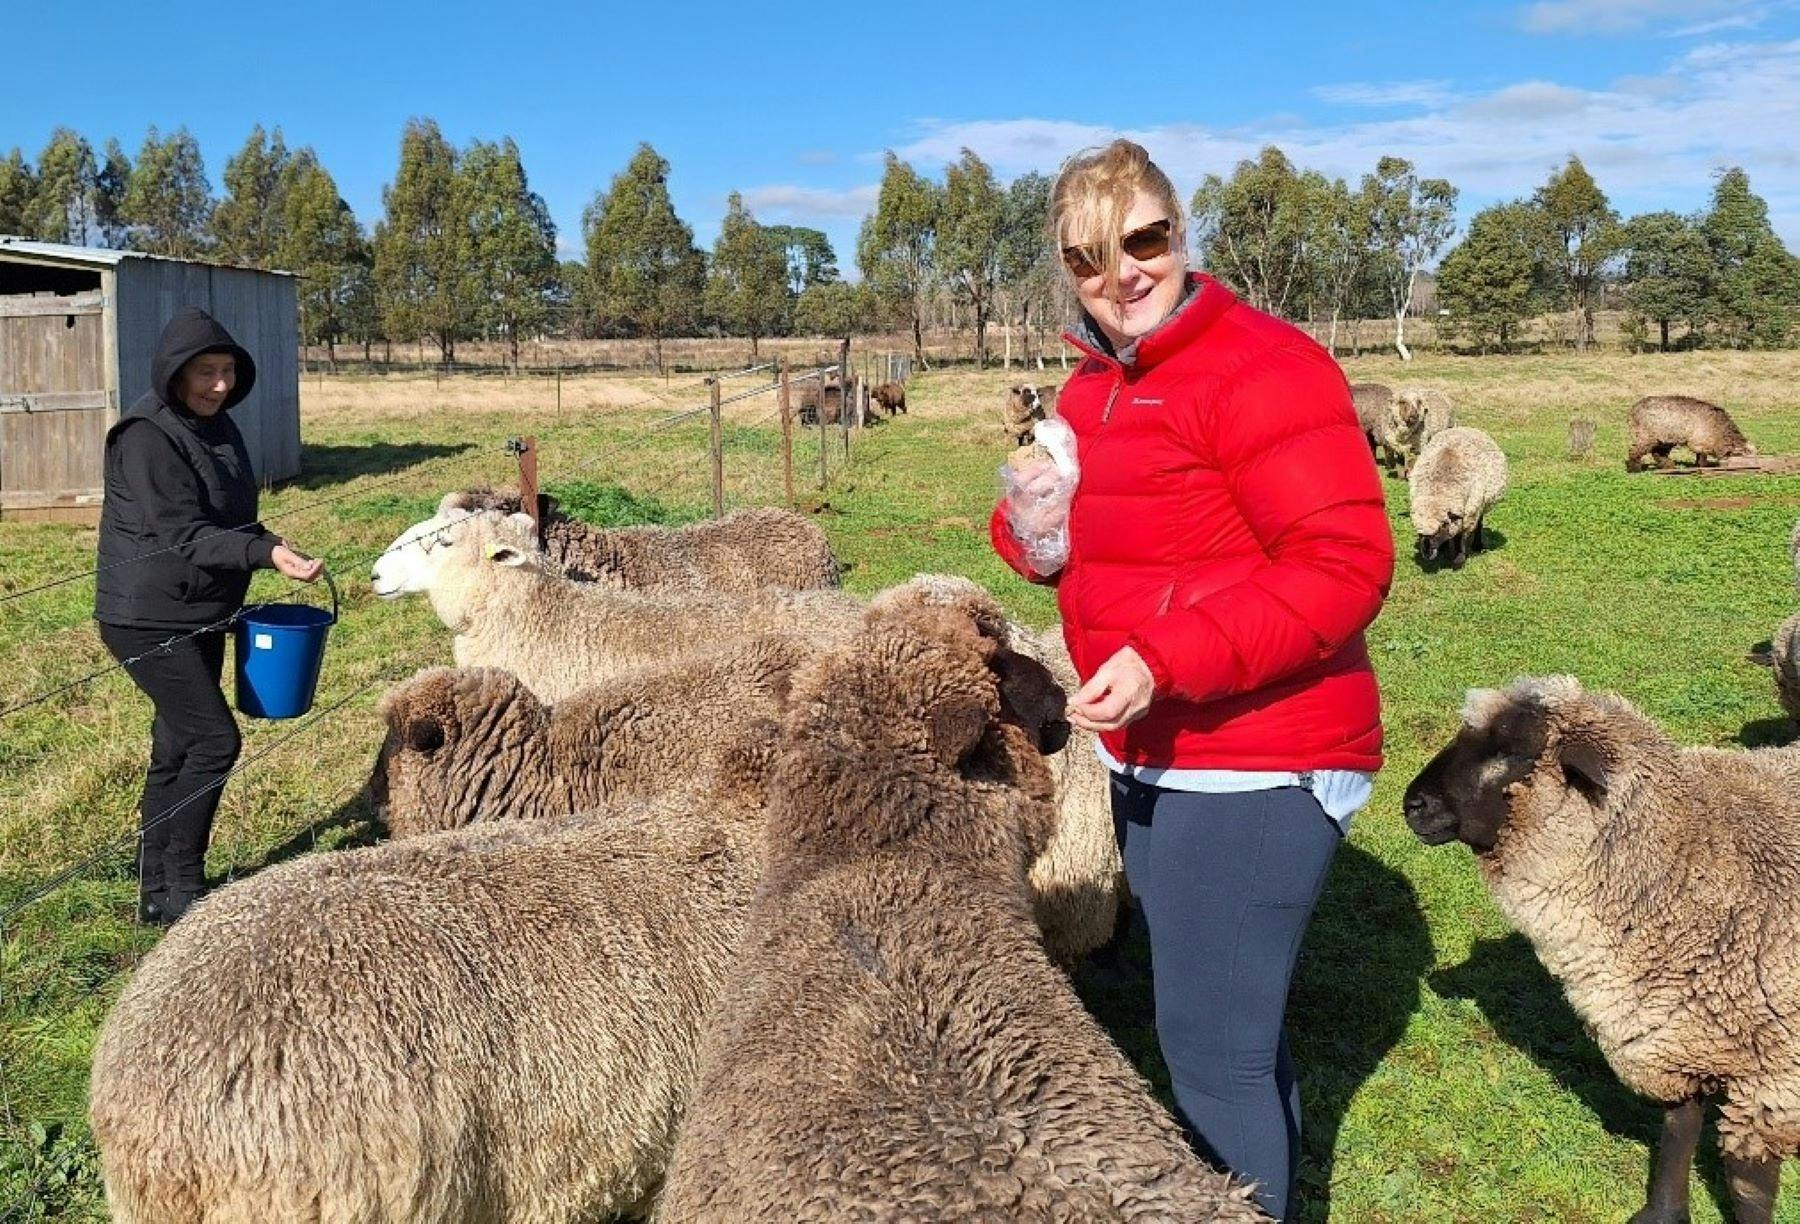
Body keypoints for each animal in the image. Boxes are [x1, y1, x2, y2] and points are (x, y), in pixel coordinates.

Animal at [1404, 676, 1800, 1224]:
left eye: (1513, 751)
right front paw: (1663, 1213)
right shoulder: (1673, 1039)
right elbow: (1678, 1128)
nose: (1412, 805)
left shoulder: (1774, 1081)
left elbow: (1748, 1188)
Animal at [1408, 426, 1508, 570]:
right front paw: (1446, 549)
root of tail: (1465, 428)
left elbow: (1461, 537)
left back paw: (1478, 546)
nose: (1426, 554)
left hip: (1480, 504)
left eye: (1442, 526)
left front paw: (1459, 559)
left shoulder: (1469, 513)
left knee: (1479, 523)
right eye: (1419, 532)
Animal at [1626, 394, 1755, 472]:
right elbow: (1702, 456)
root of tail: (1633, 409)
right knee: (1635, 451)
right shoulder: (1699, 441)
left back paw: (1669, 466)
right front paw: (1703, 466)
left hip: (1666, 438)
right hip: (1647, 435)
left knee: (1658, 453)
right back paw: (1634, 469)